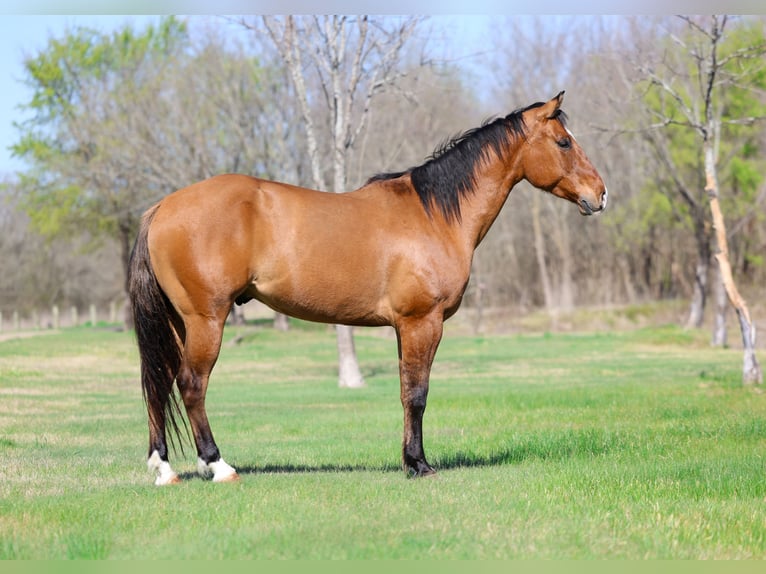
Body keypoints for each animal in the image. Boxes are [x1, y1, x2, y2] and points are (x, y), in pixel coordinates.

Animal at [128, 91, 607, 485]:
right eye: (563, 142)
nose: (600, 194)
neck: (434, 214)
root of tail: (162, 207)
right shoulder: (422, 322)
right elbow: (418, 394)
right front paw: (420, 465)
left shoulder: (403, 327)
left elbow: (404, 391)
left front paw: (408, 460)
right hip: (206, 318)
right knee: (192, 384)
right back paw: (218, 465)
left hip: (179, 322)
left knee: (160, 382)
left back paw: (164, 468)